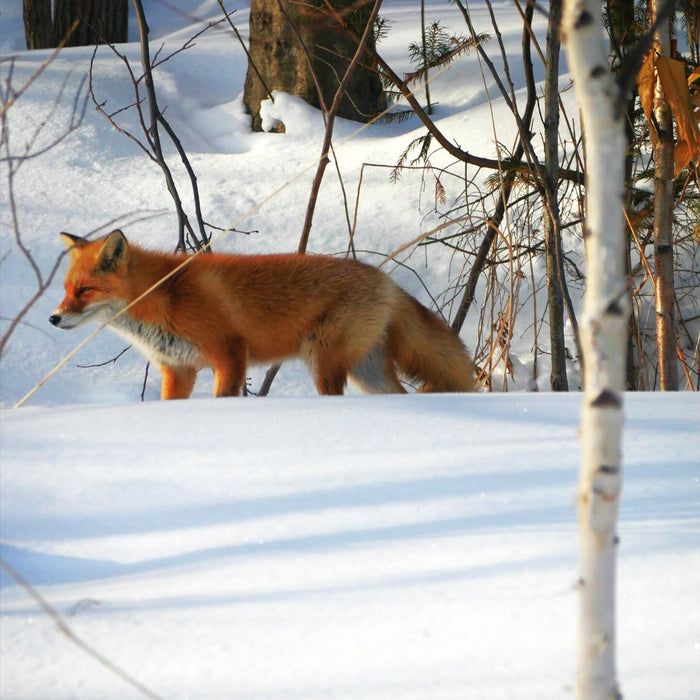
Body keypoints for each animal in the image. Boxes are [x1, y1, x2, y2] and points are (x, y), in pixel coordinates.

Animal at [49, 230, 476, 400]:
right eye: (66, 289)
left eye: (84, 291)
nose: (53, 319)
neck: (165, 298)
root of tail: (385, 279)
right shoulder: (178, 369)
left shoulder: (229, 355)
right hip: (365, 371)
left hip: (323, 362)